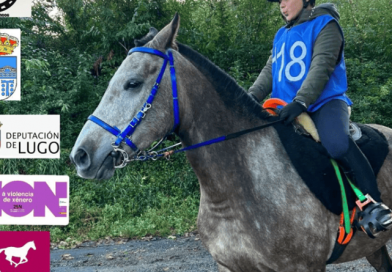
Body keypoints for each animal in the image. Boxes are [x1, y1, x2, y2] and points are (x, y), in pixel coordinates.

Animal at [71, 14, 392, 272]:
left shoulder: (304, 267)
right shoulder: (229, 265)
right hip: (375, 248)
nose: (81, 155)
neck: (236, 191)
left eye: (133, 83)